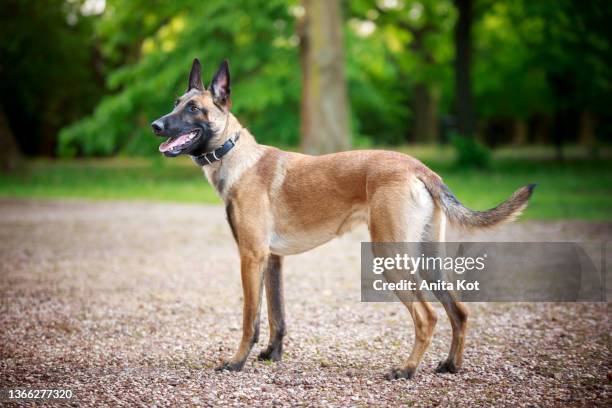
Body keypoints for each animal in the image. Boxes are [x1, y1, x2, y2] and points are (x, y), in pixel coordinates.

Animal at [151, 58, 532, 380]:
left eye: (193, 108)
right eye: (175, 102)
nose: (155, 125)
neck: (236, 156)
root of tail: (419, 167)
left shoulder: (251, 256)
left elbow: (250, 319)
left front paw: (236, 362)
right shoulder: (272, 260)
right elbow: (277, 316)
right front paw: (272, 356)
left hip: (391, 258)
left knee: (428, 316)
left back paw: (406, 369)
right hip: (427, 260)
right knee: (459, 311)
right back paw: (451, 365)